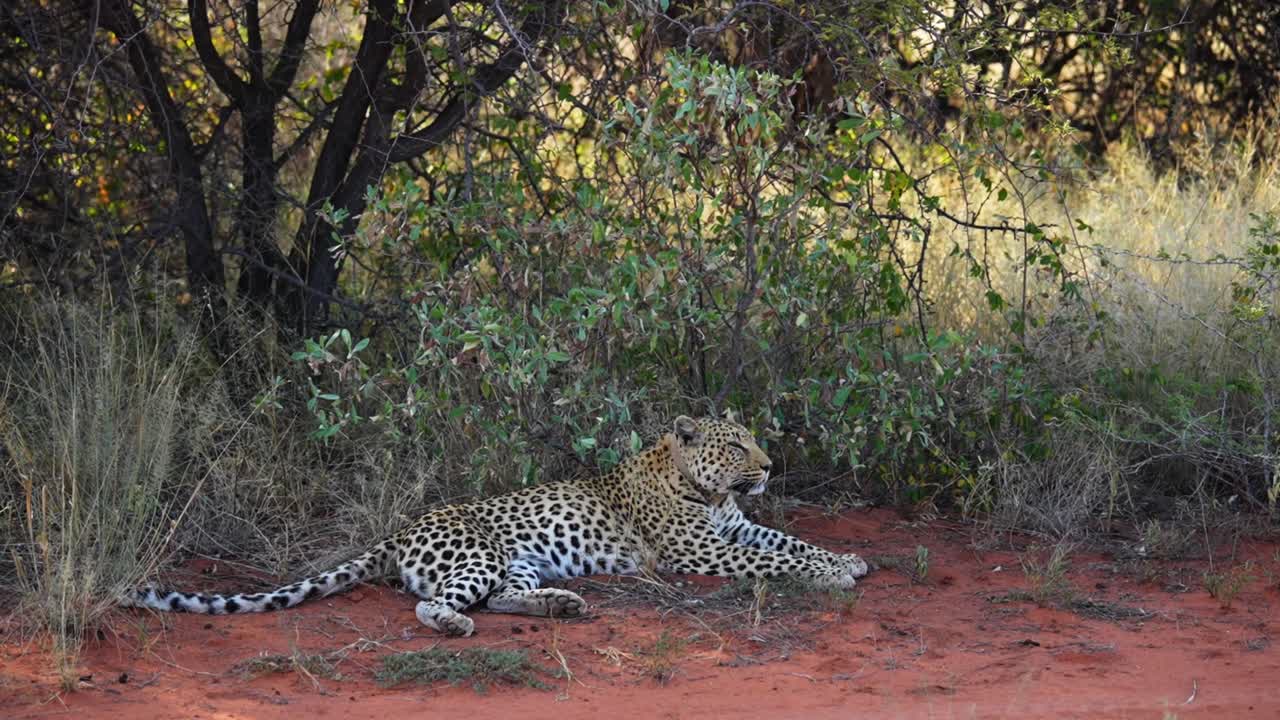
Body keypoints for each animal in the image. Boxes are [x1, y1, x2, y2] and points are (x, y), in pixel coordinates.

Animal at [122, 415, 870, 636]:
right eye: (736, 445)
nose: (770, 465)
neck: (704, 490)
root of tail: (398, 532)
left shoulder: (736, 531)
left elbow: (788, 543)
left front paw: (847, 561)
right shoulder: (703, 551)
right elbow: (780, 561)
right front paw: (836, 575)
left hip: (520, 561)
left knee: (508, 596)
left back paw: (562, 604)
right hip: (477, 555)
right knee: (432, 605)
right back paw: (455, 625)